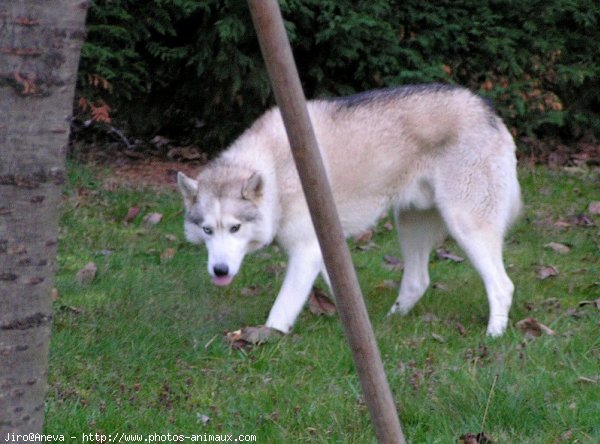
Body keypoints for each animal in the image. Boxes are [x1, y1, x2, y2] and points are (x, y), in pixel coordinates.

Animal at [178, 84, 520, 336]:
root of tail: (487, 109)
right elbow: (344, 294)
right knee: (418, 281)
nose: (219, 271)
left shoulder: (307, 252)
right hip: (410, 225)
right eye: (207, 230)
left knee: (502, 286)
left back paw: (494, 334)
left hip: (465, 226)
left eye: (235, 228)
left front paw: (265, 339)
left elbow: (280, 313)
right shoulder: (325, 251)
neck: (275, 169)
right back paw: (390, 321)